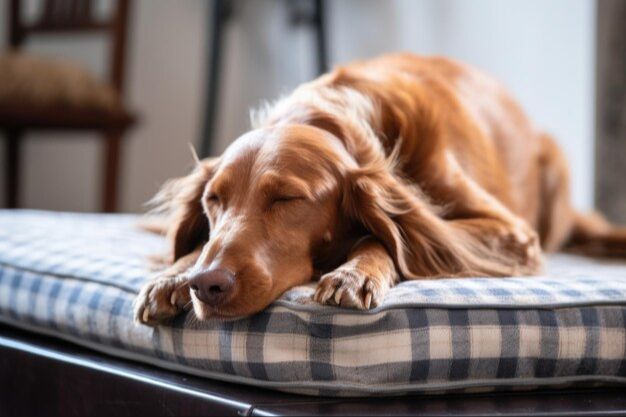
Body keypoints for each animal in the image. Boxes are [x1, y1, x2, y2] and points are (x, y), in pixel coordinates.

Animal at [134, 52, 624, 324]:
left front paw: (355, 273)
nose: (207, 286)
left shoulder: (510, 232)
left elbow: (384, 235)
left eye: (287, 198)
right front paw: (174, 274)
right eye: (213, 201)